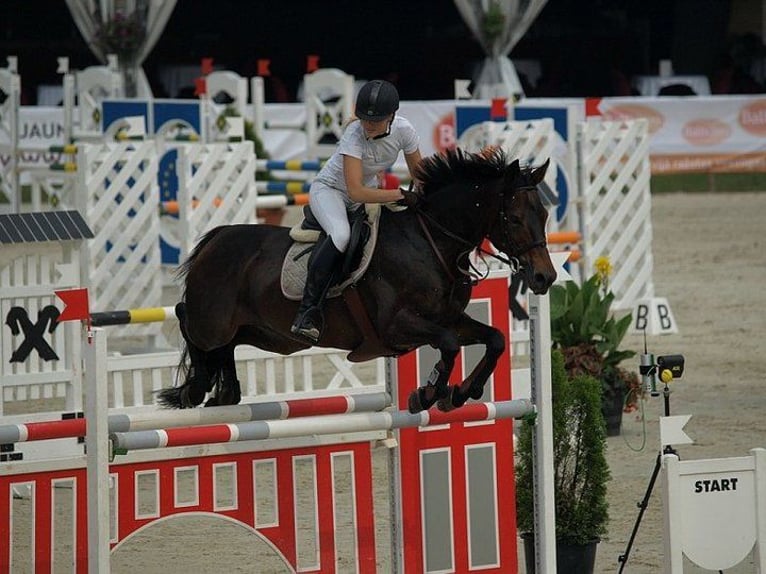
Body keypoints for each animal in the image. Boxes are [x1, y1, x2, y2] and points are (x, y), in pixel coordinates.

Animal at [159, 147, 560, 414]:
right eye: (514, 219)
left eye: (543, 214)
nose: (545, 277)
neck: (431, 239)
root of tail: (216, 238)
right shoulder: (397, 326)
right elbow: (447, 345)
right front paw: (429, 394)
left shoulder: (449, 318)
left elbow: (495, 339)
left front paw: (460, 393)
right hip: (212, 323)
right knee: (185, 318)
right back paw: (196, 390)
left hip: (266, 335)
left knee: (224, 348)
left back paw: (224, 392)